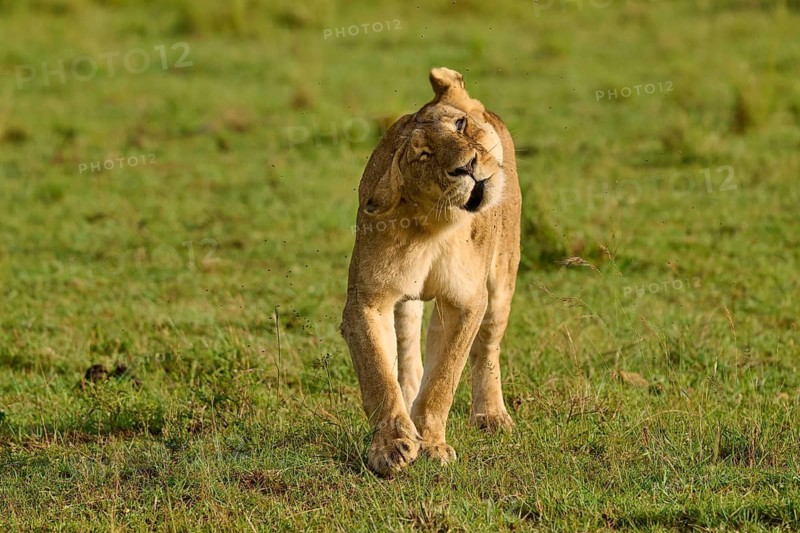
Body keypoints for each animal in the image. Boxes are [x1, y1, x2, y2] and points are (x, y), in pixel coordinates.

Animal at [340, 67, 521, 476]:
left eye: (460, 124)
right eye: (424, 155)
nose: (467, 167)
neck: (435, 226)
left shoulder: (466, 302)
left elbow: (443, 378)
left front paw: (433, 444)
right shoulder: (367, 300)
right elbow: (378, 374)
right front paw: (393, 445)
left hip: (503, 278)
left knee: (488, 346)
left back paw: (492, 416)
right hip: (407, 303)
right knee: (407, 348)